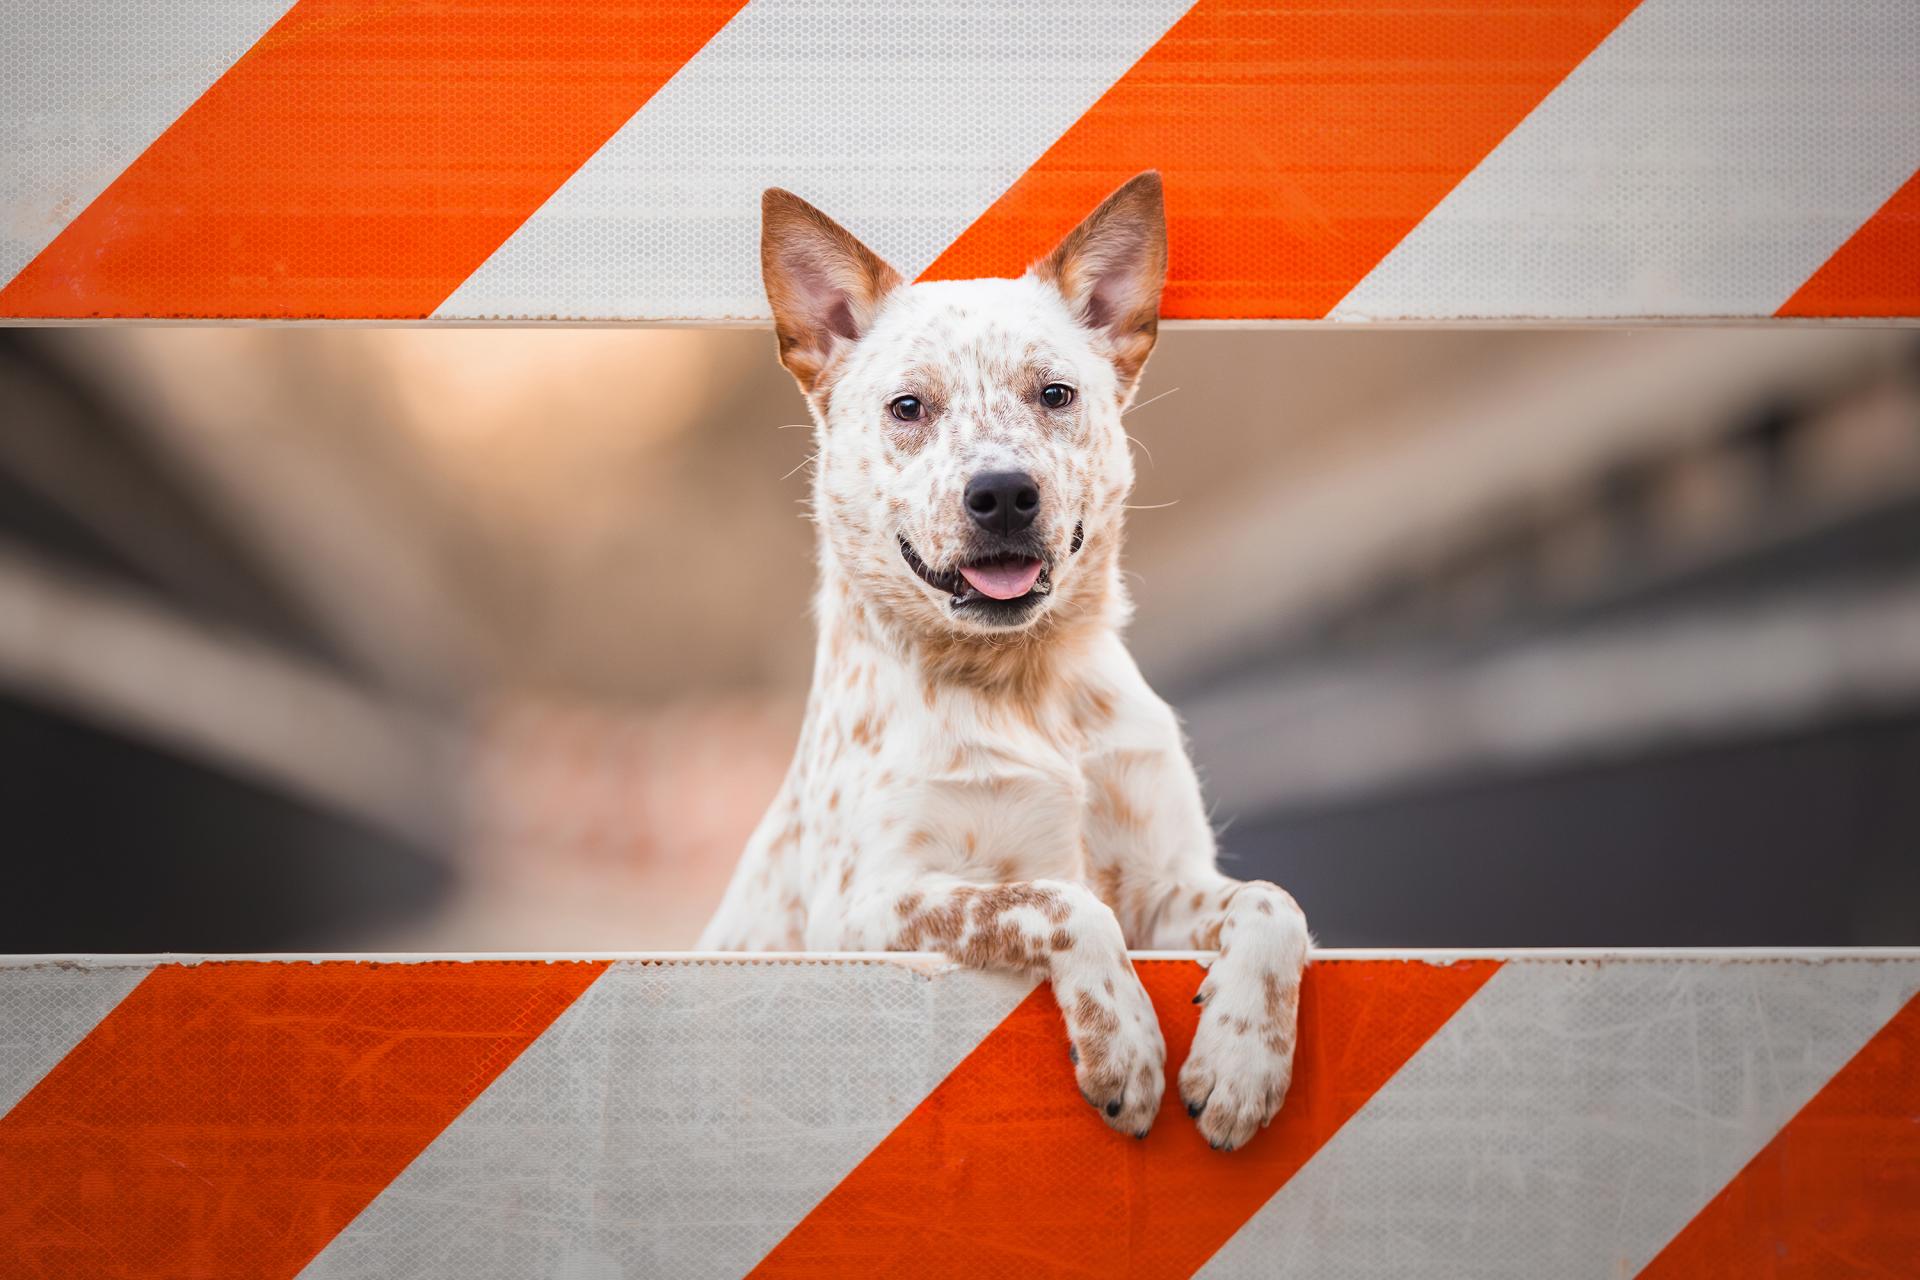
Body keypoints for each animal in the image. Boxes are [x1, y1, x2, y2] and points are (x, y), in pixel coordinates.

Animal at [698, 172, 1313, 1151]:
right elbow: (1057, 901)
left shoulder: (1162, 886)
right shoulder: (869, 909)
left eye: (1054, 393)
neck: (1026, 689)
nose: (1002, 493)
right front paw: (1125, 1046)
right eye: (908, 407)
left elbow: (1272, 901)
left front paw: (1244, 1061)